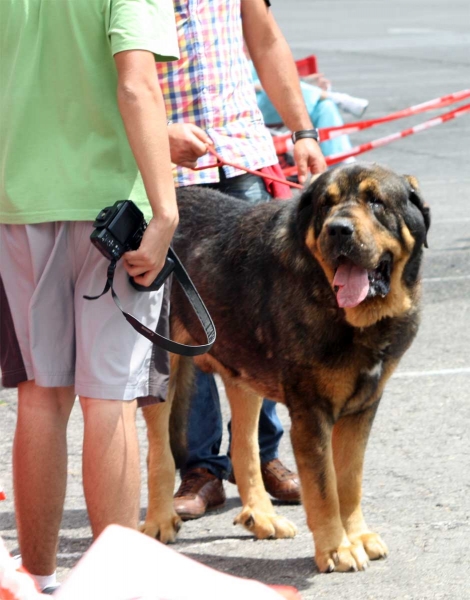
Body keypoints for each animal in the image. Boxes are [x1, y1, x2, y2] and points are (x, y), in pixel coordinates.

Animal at [140, 163, 430, 572]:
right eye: (326, 204)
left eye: (376, 201)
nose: (338, 229)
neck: (355, 320)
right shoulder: (311, 413)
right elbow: (324, 489)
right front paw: (337, 549)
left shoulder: (362, 408)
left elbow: (349, 481)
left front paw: (357, 536)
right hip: (160, 372)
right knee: (159, 452)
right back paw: (160, 521)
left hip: (243, 371)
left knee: (243, 445)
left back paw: (262, 517)